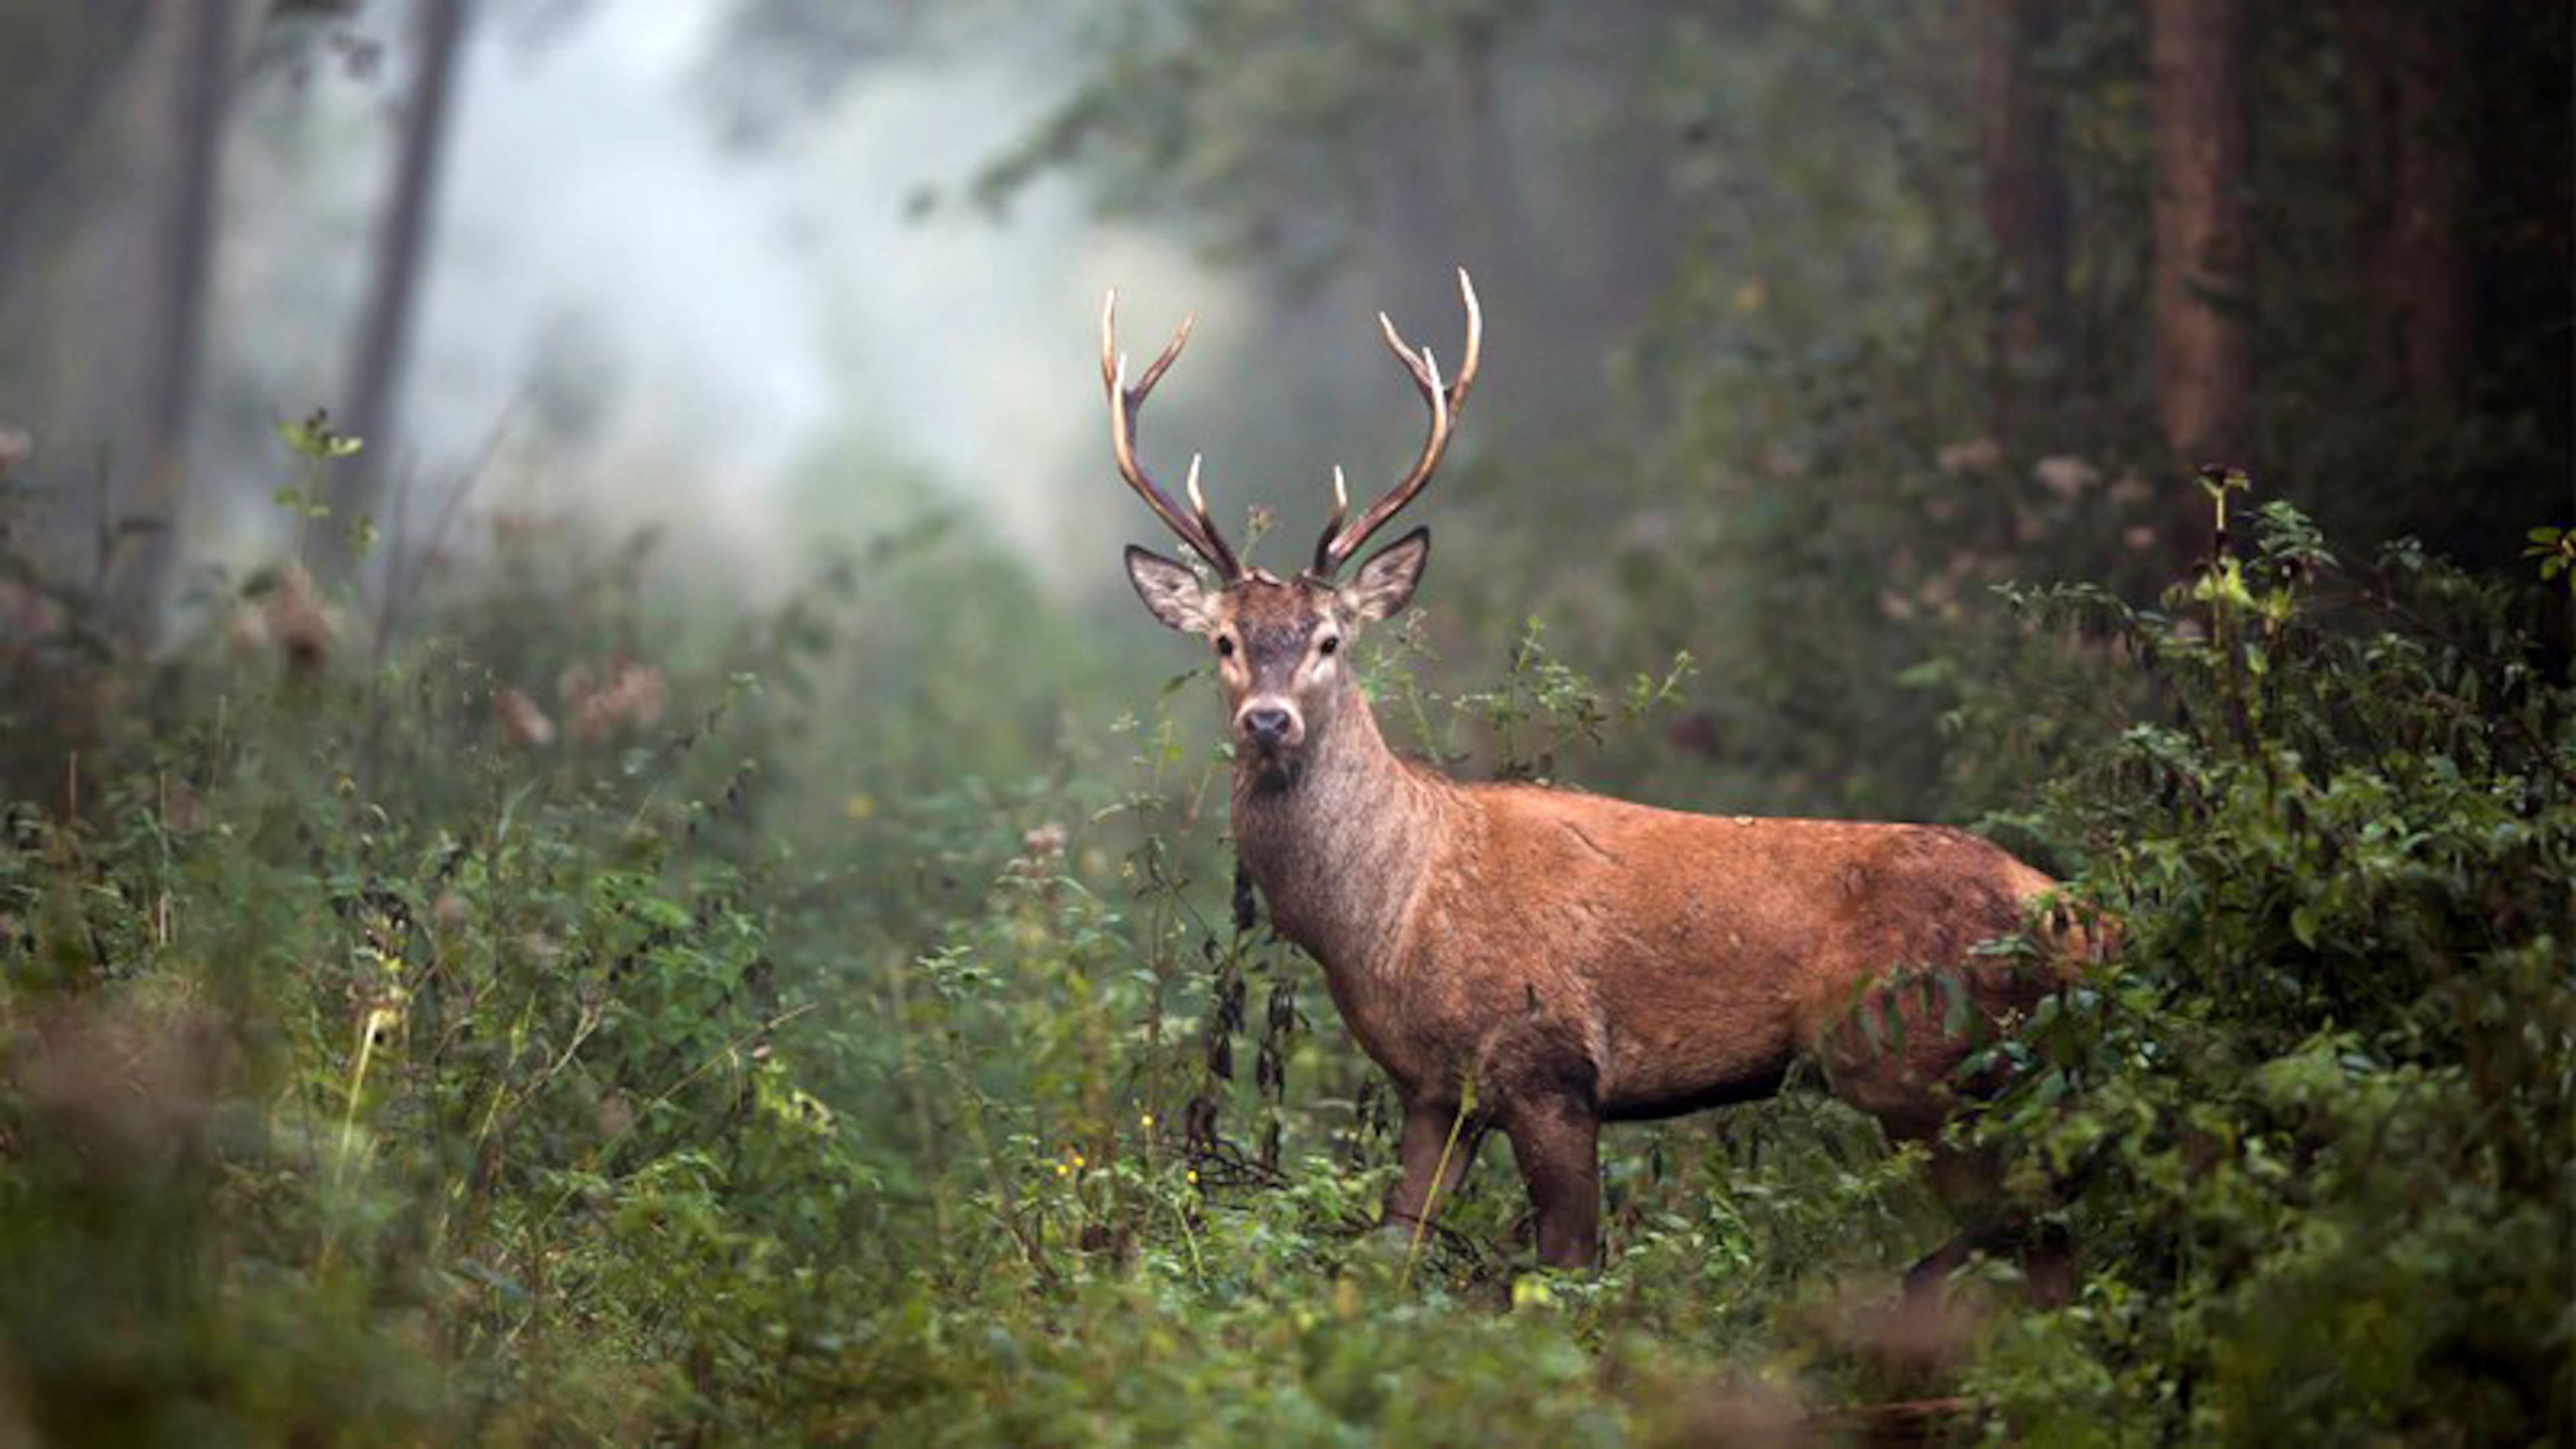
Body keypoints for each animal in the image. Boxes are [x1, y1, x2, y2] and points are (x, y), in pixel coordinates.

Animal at [1102, 269, 2095, 1277]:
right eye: (1225, 641)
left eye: (1330, 640)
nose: (1268, 719)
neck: (1389, 921)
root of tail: (2073, 915)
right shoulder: (1437, 1089)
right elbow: (1393, 1252)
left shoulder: (1552, 1066)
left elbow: (1568, 1266)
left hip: (1920, 1060)